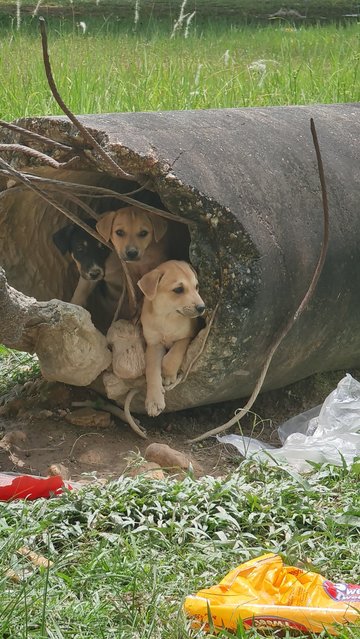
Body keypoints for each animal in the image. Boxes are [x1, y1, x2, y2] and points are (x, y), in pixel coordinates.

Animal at [138, 262, 205, 418]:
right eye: (178, 289)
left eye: (197, 286)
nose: (202, 307)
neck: (166, 317)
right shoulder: (154, 344)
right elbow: (151, 370)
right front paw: (154, 400)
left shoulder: (187, 336)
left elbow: (173, 356)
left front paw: (168, 375)